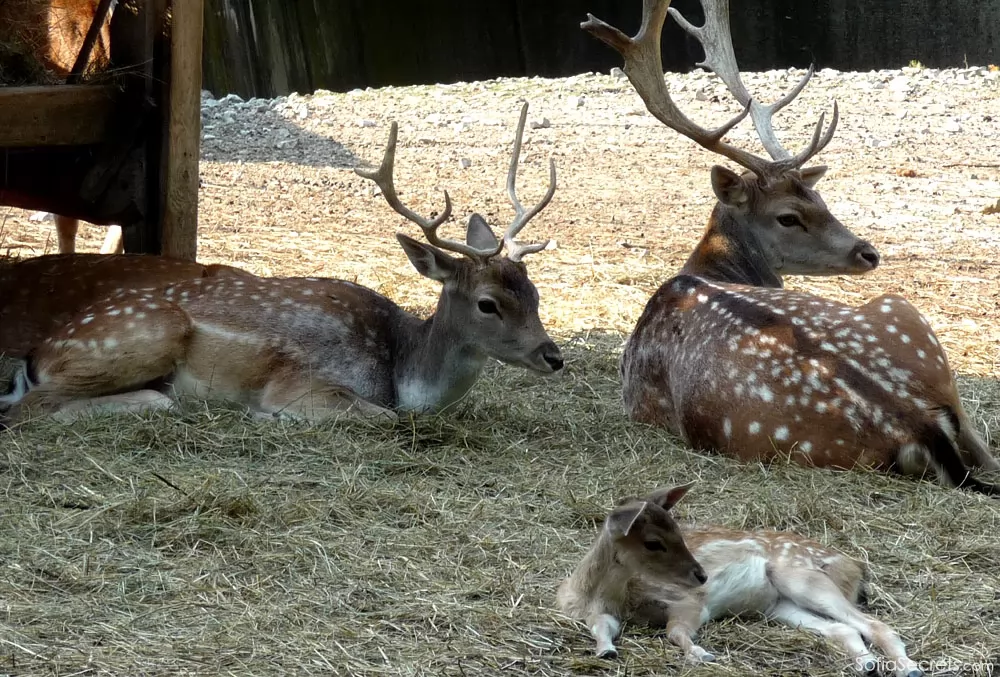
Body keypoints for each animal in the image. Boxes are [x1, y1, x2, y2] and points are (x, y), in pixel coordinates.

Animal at [0, 103, 564, 426]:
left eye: (536, 293)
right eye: (488, 304)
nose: (553, 356)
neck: (402, 372)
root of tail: (36, 356)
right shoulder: (302, 382)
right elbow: (381, 418)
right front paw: (272, 419)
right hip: (140, 336)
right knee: (32, 410)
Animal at [580, 2, 1000, 494]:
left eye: (820, 197)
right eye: (788, 216)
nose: (868, 253)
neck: (701, 269)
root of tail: (918, 422)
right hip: (911, 324)